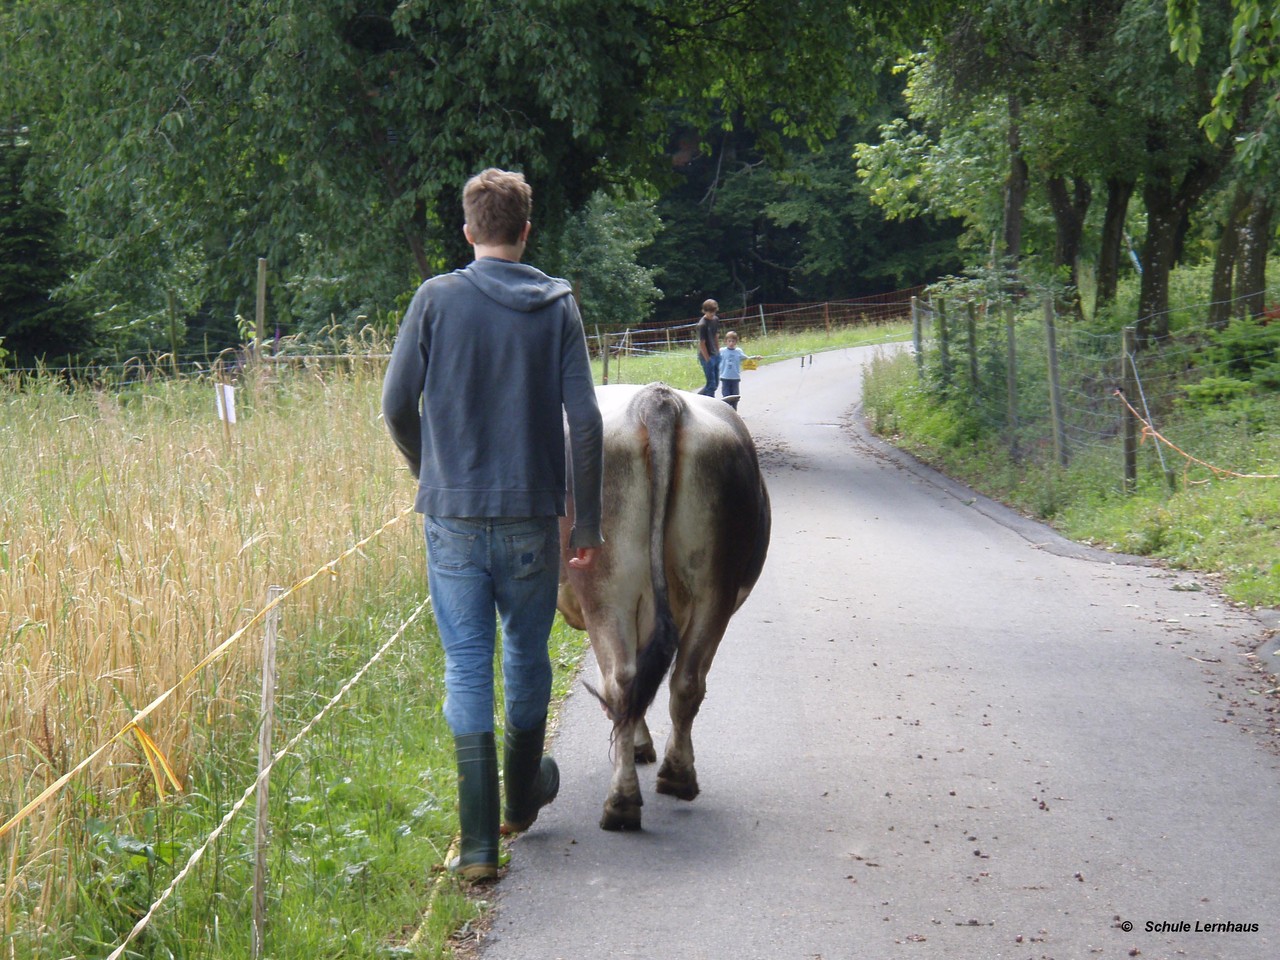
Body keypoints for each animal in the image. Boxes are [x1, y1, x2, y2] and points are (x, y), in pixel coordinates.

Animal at [552, 378, 768, 829]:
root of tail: (655, 399)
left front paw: (637, 745)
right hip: (712, 590)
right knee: (682, 681)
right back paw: (670, 779)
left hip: (605, 591)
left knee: (620, 681)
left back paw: (627, 797)